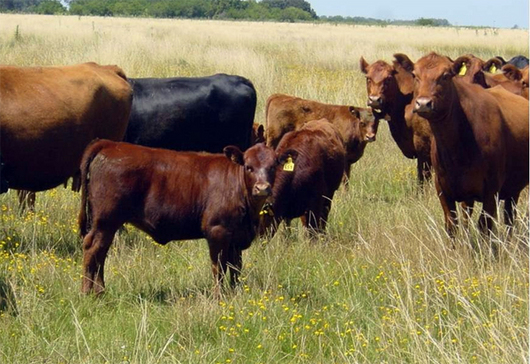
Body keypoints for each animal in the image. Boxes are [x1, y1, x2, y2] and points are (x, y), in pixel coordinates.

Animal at [79, 139, 280, 296]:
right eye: (249, 167)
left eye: (272, 166)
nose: (262, 188)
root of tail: (110, 144)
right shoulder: (217, 230)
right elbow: (219, 267)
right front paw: (219, 296)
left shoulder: (236, 238)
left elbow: (235, 267)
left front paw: (235, 292)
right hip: (106, 220)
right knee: (93, 248)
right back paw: (88, 292)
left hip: (107, 224)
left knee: (101, 252)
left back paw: (99, 291)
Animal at [400, 52, 528, 247]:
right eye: (415, 75)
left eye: (445, 76)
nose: (423, 103)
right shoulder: (443, 189)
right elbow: (452, 226)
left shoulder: (491, 191)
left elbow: (485, 226)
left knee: (508, 218)